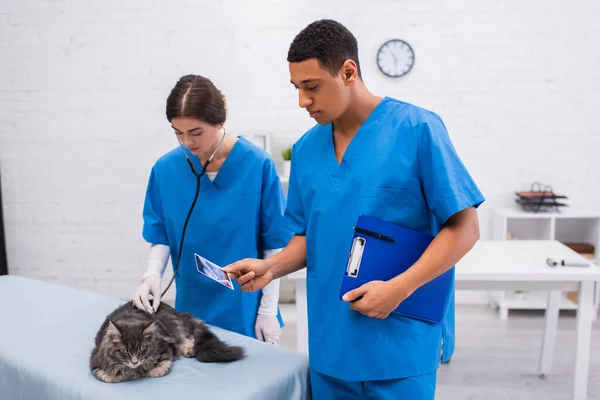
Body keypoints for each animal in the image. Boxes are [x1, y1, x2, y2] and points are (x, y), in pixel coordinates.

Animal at [89, 302, 244, 382]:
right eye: (124, 352)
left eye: (142, 349)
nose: (134, 362)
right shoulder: (95, 360)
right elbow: (105, 375)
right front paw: (123, 374)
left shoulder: (165, 346)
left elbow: (164, 364)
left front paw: (151, 371)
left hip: (176, 327)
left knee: (190, 336)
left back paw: (189, 350)